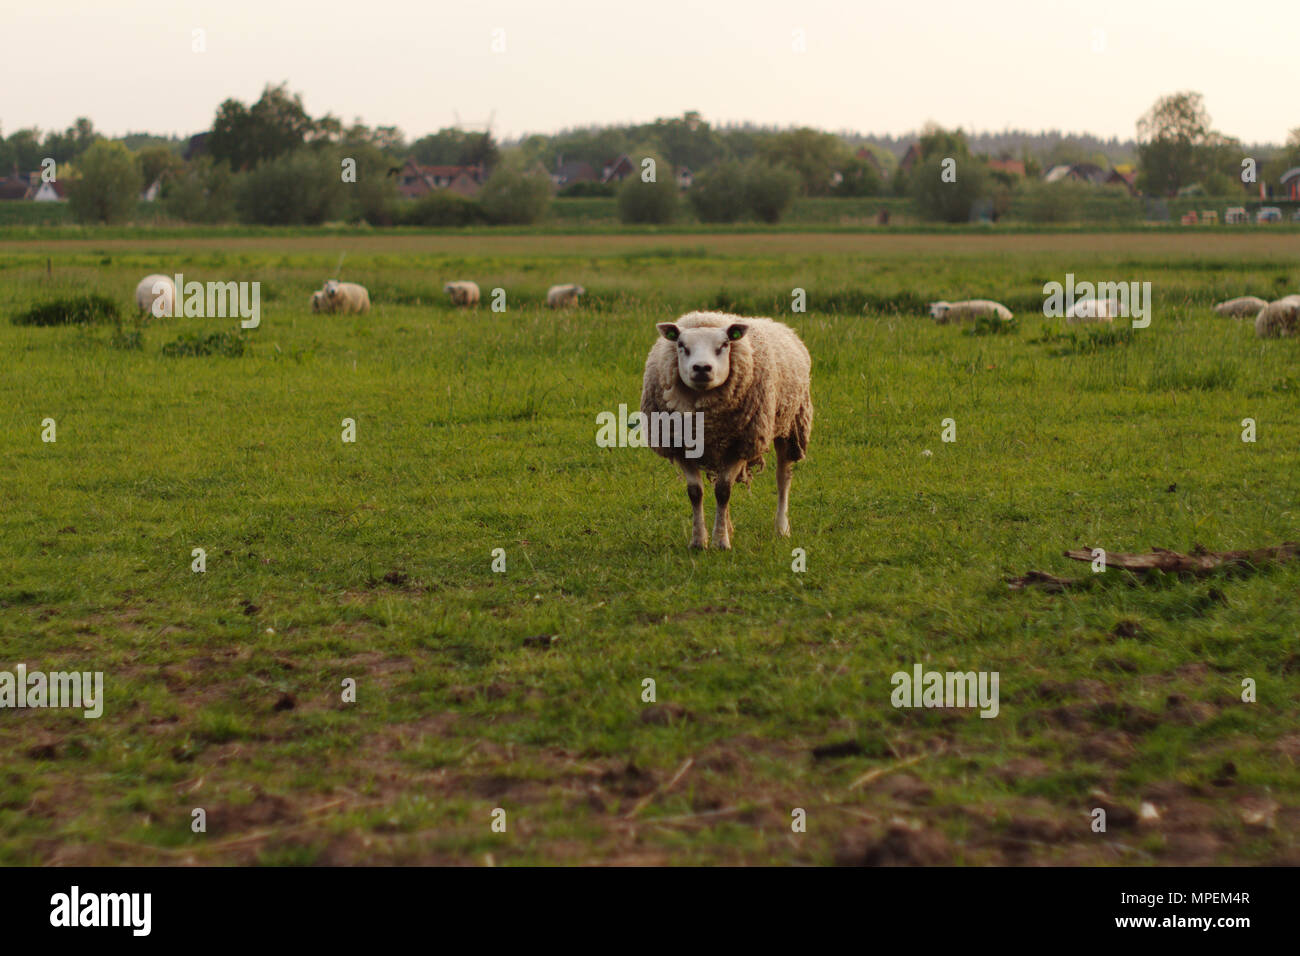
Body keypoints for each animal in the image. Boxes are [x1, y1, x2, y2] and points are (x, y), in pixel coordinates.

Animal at [641, 311, 812, 550]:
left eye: (724, 345)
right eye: (681, 345)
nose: (702, 368)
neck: (704, 420)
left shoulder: (742, 443)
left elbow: (723, 491)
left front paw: (721, 542)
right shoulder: (679, 445)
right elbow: (696, 492)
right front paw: (699, 541)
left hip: (790, 426)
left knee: (782, 479)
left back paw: (781, 529)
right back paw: (729, 527)